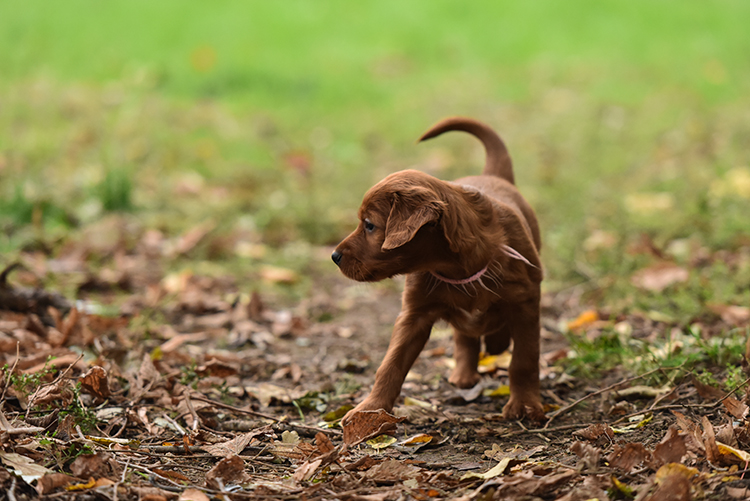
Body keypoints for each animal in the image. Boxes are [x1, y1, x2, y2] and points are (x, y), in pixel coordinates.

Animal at [334, 118, 548, 422]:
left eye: (370, 225)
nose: (334, 256)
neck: (457, 268)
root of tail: (494, 175)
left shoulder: (527, 302)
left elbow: (524, 359)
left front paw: (526, 405)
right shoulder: (414, 315)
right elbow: (390, 365)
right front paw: (369, 410)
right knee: (464, 336)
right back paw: (464, 373)